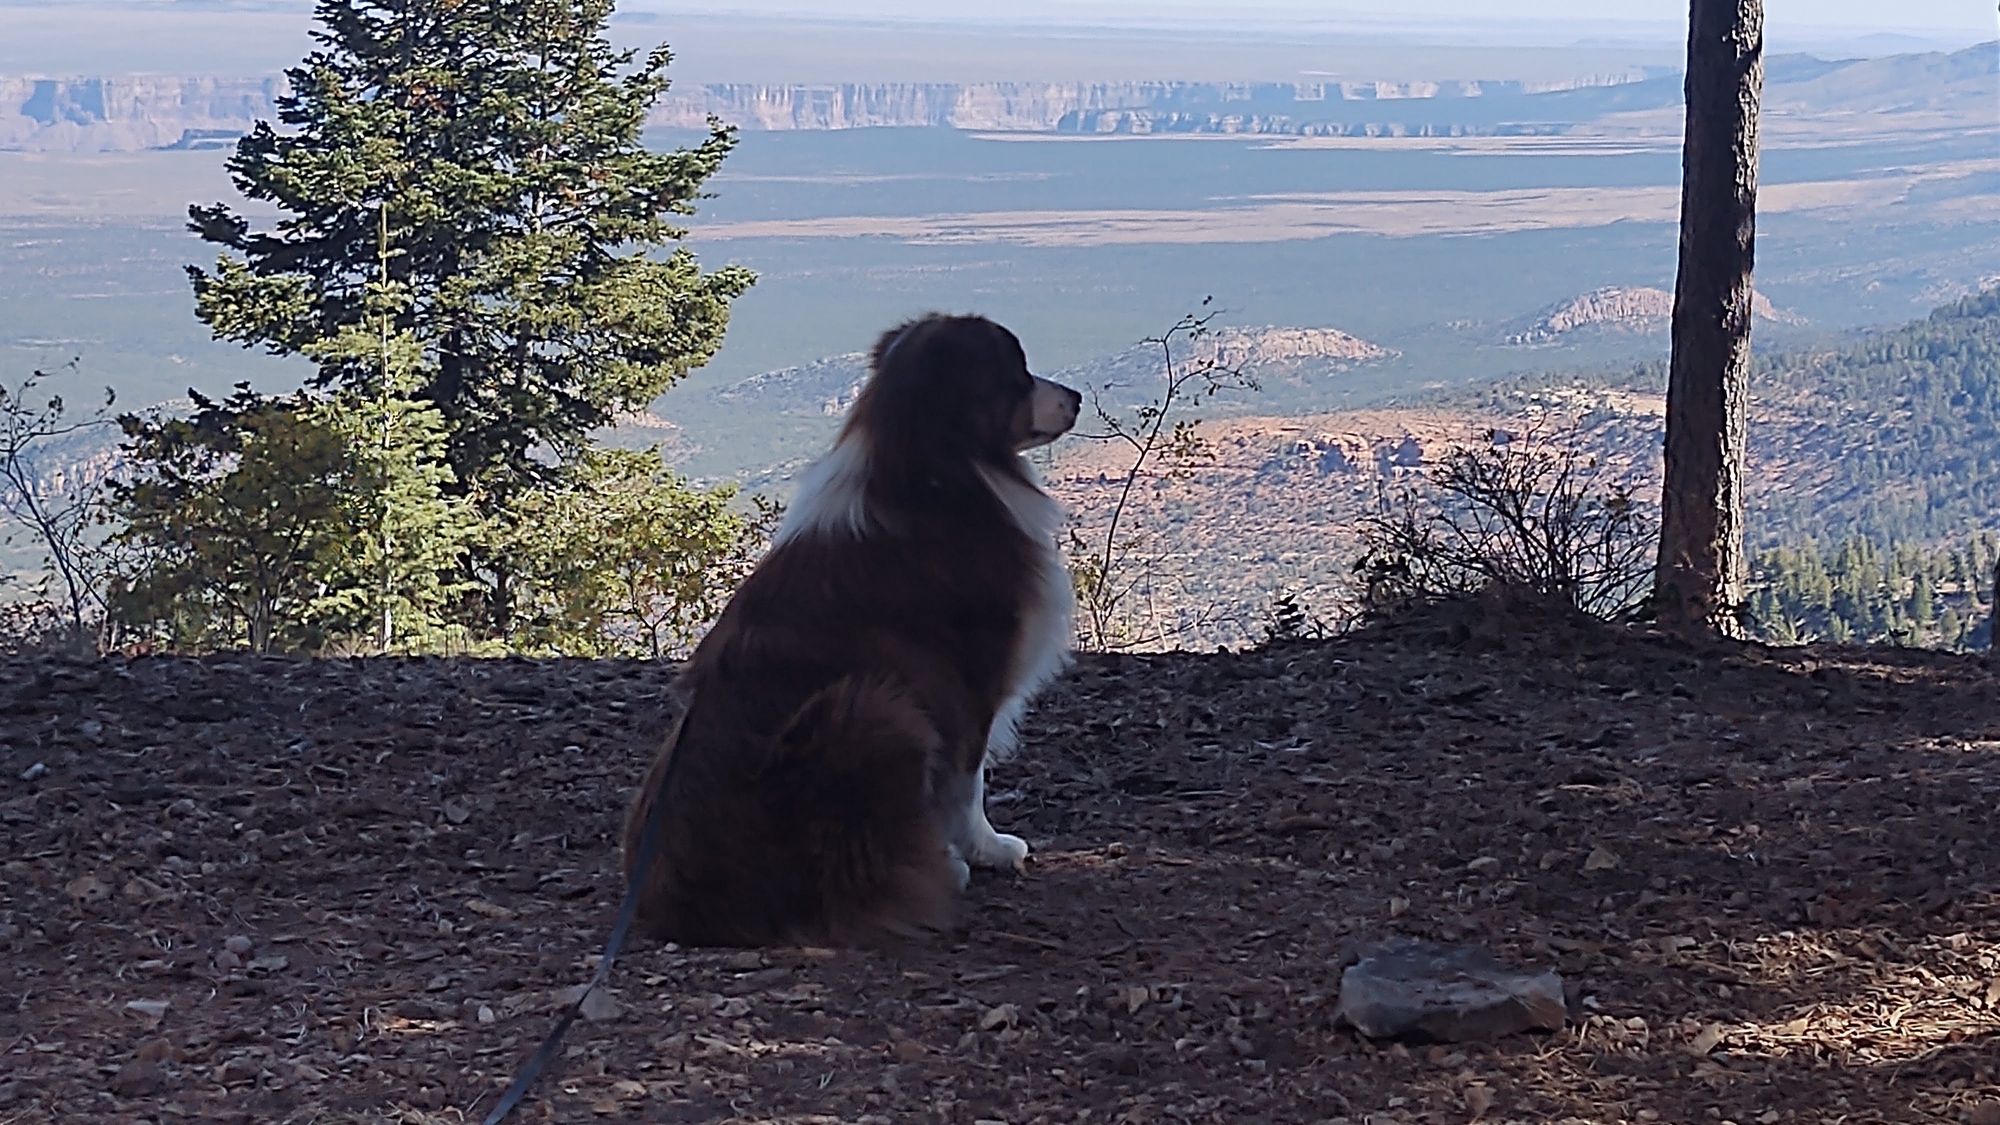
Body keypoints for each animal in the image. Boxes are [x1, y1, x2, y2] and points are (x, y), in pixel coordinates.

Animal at [624, 310, 1088, 940]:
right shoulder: (970, 682)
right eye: (1016, 372)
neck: (930, 468)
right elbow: (967, 785)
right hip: (875, 710)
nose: (1076, 397)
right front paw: (987, 849)